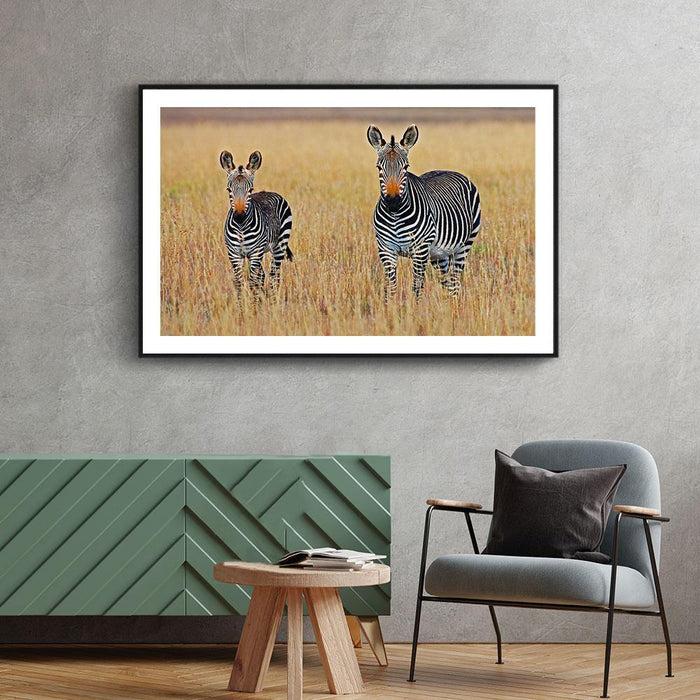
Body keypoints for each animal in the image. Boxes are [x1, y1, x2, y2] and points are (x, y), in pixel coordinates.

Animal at [219, 149, 293, 292]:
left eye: (251, 190)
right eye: (229, 190)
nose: (239, 216)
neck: (241, 228)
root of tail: (268, 191)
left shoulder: (255, 253)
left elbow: (253, 282)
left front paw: (255, 299)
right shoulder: (234, 254)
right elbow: (239, 283)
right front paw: (243, 299)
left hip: (279, 245)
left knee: (274, 275)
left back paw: (273, 296)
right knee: (263, 275)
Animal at [367, 124, 481, 299]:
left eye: (406, 167)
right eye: (379, 167)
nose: (393, 202)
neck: (395, 217)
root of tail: (449, 170)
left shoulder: (420, 250)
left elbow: (416, 288)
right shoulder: (386, 248)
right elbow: (390, 288)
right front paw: (389, 306)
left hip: (464, 245)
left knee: (455, 283)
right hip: (439, 254)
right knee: (447, 282)